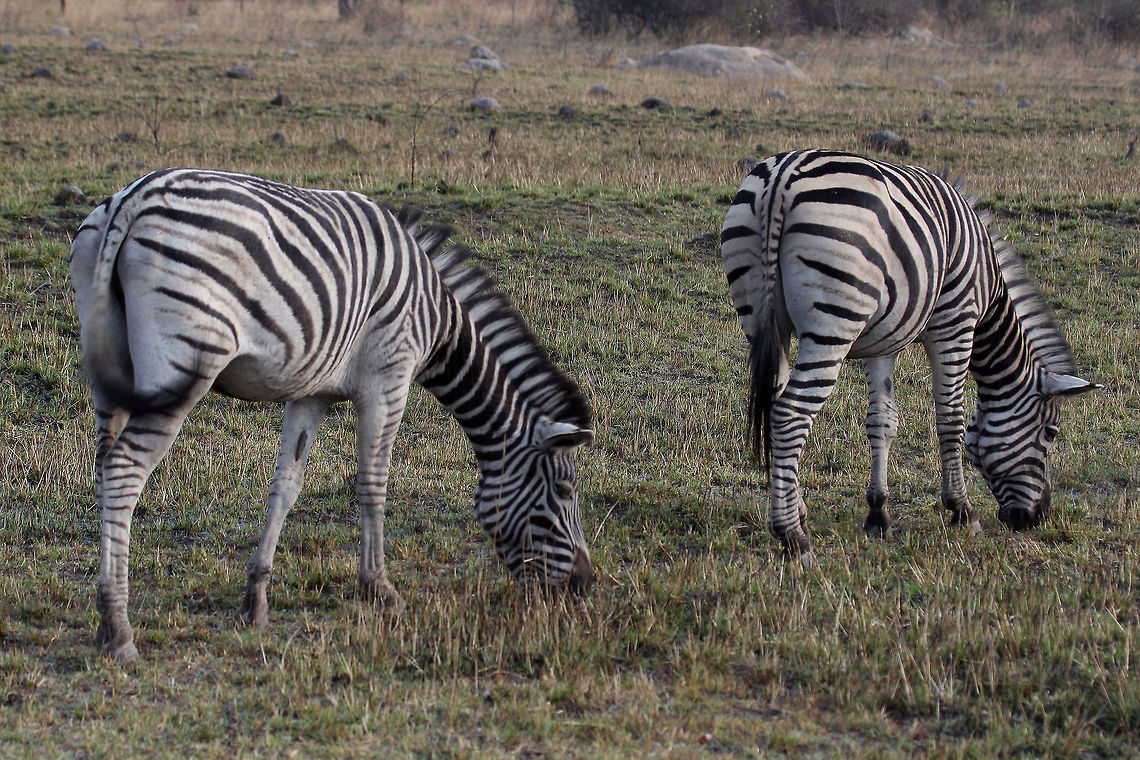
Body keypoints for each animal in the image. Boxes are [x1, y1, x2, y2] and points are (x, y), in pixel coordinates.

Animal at [69, 168, 595, 661]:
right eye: (565, 490)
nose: (584, 585)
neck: (437, 320)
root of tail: (135, 196)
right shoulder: (388, 380)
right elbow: (373, 484)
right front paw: (380, 590)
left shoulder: (312, 392)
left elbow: (286, 486)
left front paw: (256, 600)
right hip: (183, 362)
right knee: (123, 471)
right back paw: (119, 628)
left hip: (107, 369)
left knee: (102, 469)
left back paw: (102, 620)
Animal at [720, 150, 1098, 567]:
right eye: (1050, 433)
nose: (1035, 519)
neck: (987, 284)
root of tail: (782, 179)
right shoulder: (955, 322)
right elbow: (951, 420)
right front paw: (962, 511)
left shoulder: (884, 340)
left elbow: (882, 421)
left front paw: (878, 514)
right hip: (832, 325)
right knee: (789, 415)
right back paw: (792, 537)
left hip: (760, 317)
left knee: (774, 405)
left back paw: (798, 512)